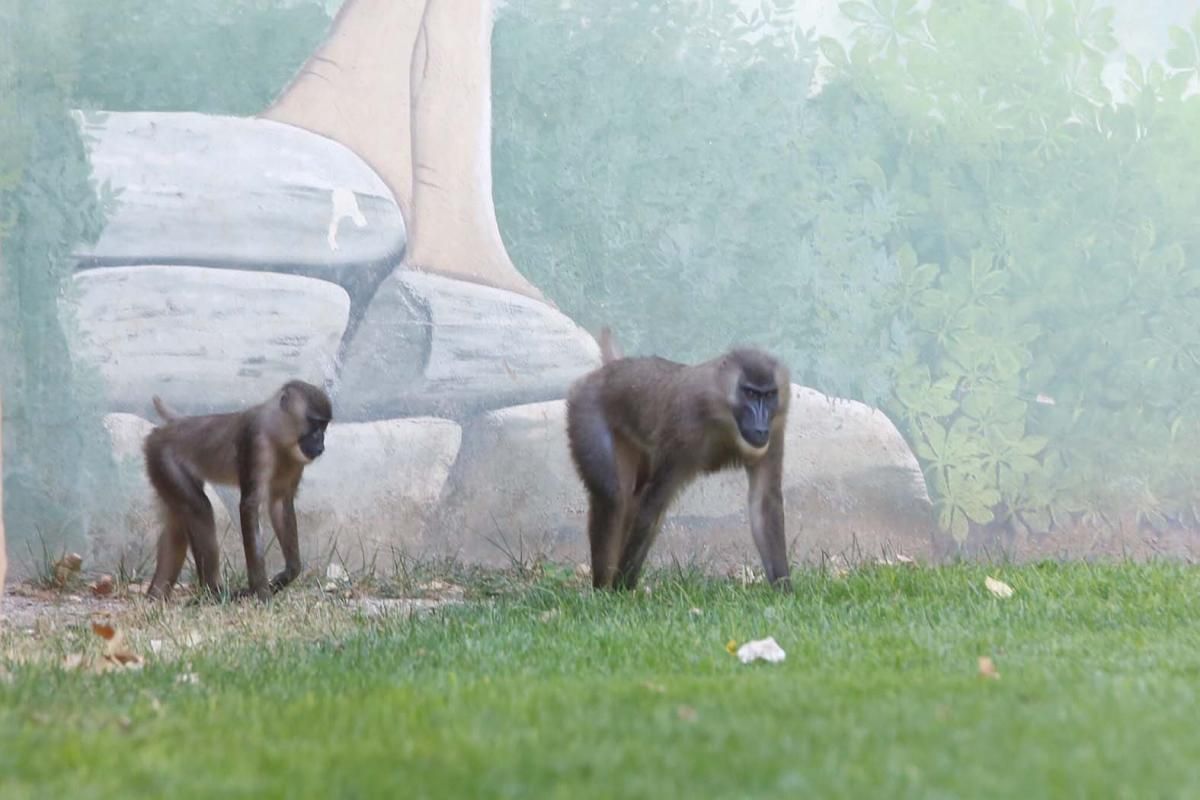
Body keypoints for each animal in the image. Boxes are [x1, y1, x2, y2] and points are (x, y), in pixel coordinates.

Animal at [142, 381, 331, 599]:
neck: (278, 436)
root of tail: (165, 430)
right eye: (314, 423)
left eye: (324, 426)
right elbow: (249, 505)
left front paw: (287, 576)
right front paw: (262, 593)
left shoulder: (294, 464)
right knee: (199, 509)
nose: (321, 443)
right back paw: (213, 591)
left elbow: (280, 504)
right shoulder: (257, 443)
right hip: (163, 459)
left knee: (177, 526)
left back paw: (156, 595)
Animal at [566, 326, 792, 594]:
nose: (760, 425)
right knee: (612, 498)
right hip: (586, 412)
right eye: (749, 393)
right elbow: (653, 506)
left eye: (769, 395)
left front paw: (785, 592)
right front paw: (622, 591)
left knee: (631, 498)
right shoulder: (684, 429)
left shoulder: (775, 428)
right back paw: (603, 590)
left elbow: (764, 503)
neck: (723, 412)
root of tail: (603, 373)